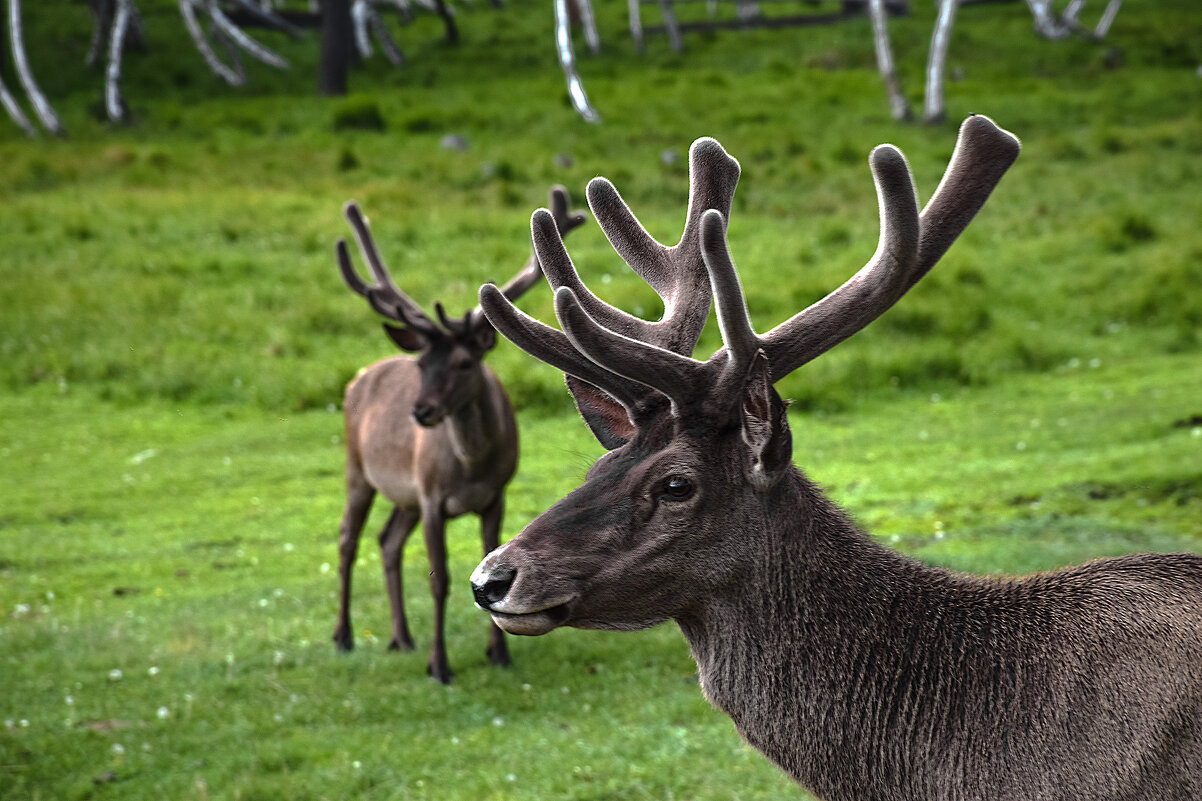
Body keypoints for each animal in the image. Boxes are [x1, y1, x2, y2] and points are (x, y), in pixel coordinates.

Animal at [334, 187, 586, 678]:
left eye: (465, 362)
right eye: (421, 363)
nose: (422, 411)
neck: (471, 466)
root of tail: (359, 377)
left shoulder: (495, 495)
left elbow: (490, 566)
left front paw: (500, 654)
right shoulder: (431, 497)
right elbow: (440, 579)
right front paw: (441, 666)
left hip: (405, 496)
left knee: (388, 541)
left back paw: (401, 638)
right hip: (358, 469)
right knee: (347, 539)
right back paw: (344, 636)